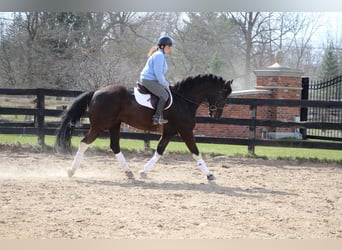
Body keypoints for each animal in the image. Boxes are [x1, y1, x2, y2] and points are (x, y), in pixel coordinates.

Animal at [56, 74, 232, 182]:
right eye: (223, 95)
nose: (216, 115)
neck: (184, 100)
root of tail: (96, 92)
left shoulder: (169, 132)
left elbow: (159, 151)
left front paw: (144, 172)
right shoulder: (185, 131)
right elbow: (196, 152)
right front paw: (210, 175)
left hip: (114, 125)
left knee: (115, 146)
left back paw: (129, 172)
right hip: (100, 125)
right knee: (84, 143)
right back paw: (71, 171)